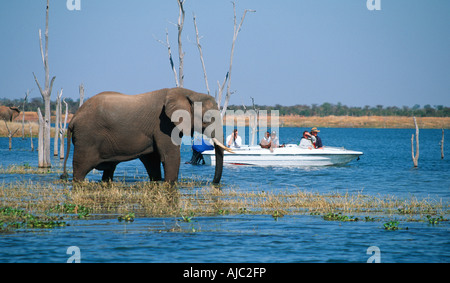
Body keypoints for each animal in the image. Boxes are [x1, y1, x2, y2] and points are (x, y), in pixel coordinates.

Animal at [61, 88, 230, 184]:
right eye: (208, 118)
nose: (214, 183)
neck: (189, 93)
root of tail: (74, 119)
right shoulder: (163, 124)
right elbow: (170, 157)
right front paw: (170, 184)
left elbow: (152, 160)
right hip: (86, 138)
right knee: (80, 169)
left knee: (109, 170)